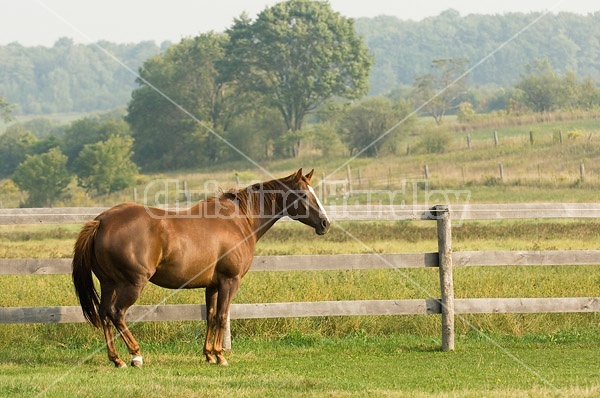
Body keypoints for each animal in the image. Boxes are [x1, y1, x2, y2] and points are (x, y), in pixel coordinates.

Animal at [74, 168, 332, 366]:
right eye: (303, 194)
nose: (325, 223)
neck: (239, 220)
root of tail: (102, 220)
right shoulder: (230, 281)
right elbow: (222, 315)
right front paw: (220, 356)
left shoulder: (212, 285)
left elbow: (210, 316)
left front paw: (209, 355)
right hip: (132, 284)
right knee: (117, 313)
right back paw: (136, 355)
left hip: (109, 284)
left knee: (105, 314)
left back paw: (116, 359)